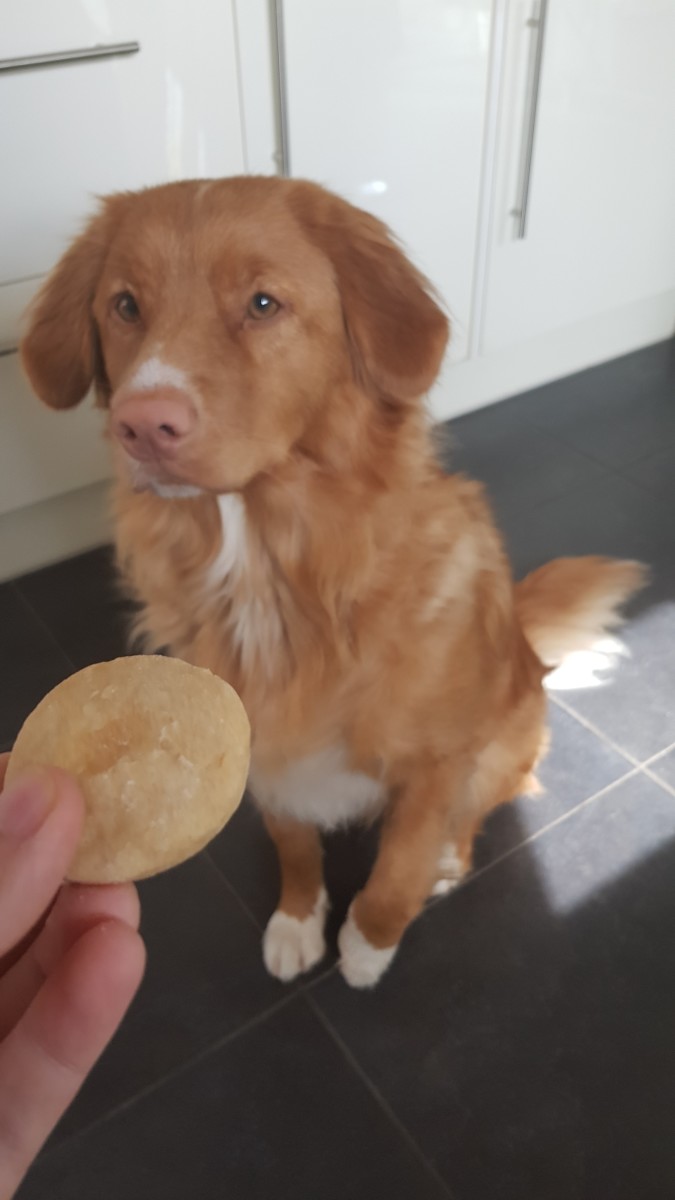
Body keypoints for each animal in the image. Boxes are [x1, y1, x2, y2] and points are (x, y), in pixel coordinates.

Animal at [19, 177, 638, 984]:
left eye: (262, 303)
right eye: (125, 306)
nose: (143, 425)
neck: (274, 577)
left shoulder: (437, 763)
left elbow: (399, 864)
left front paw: (369, 942)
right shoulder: (264, 744)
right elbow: (293, 843)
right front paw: (297, 918)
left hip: (505, 742)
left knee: (473, 815)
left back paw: (448, 861)